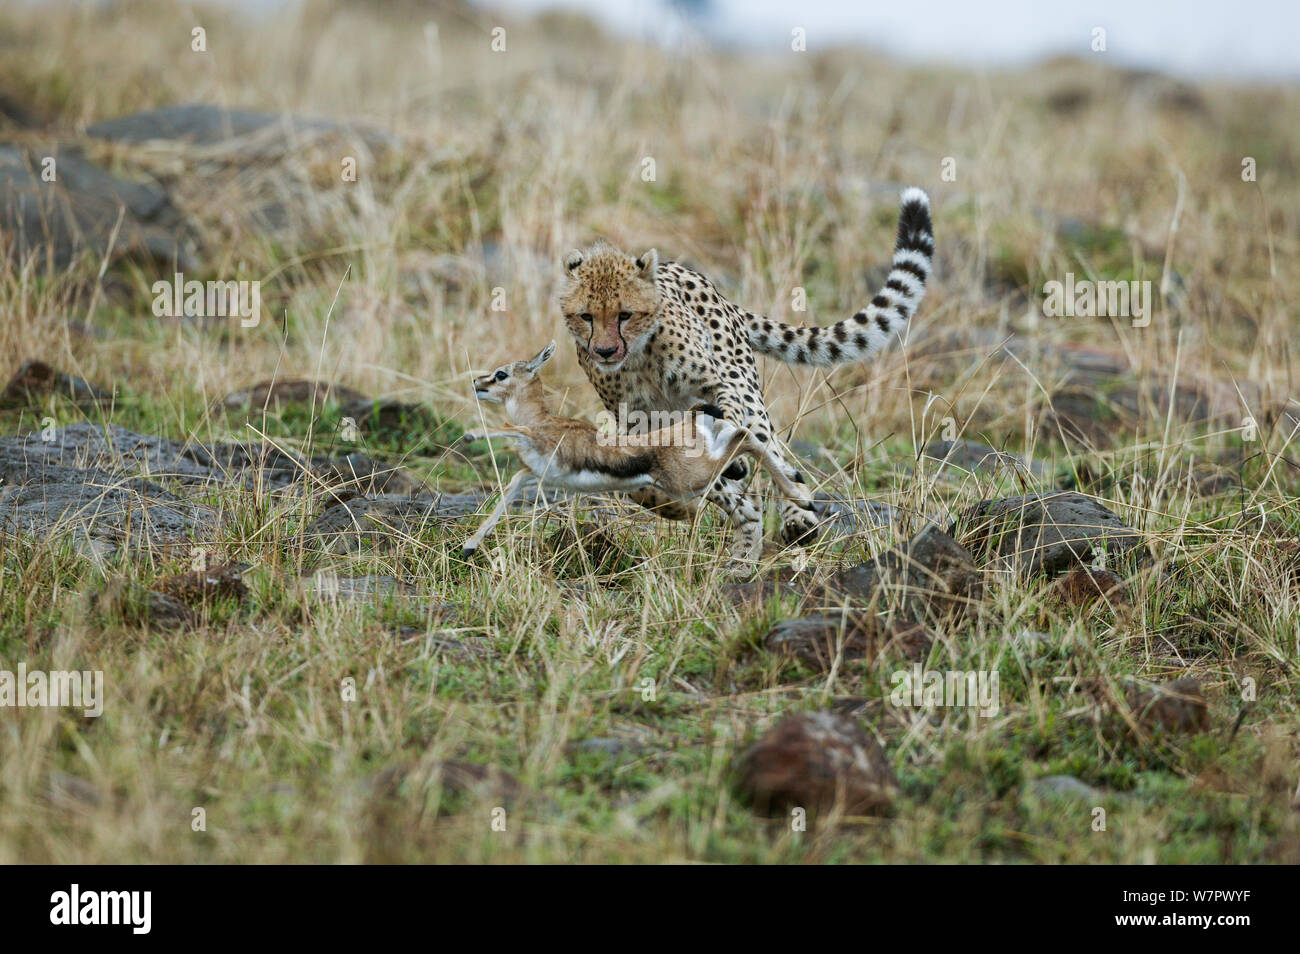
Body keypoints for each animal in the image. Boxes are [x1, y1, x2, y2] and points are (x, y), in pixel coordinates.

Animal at [559, 187, 935, 566]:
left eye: (625, 314)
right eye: (586, 316)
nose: (605, 351)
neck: (639, 358)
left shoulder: (719, 386)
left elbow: (730, 421)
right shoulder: (638, 425)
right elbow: (648, 483)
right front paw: (675, 503)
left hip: (744, 388)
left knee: (769, 448)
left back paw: (796, 515)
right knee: (746, 499)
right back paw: (742, 553)